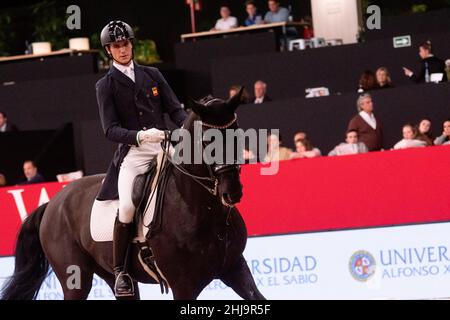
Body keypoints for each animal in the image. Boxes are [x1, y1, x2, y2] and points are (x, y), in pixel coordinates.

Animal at [0, 90, 264, 300]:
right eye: (207, 141)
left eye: (238, 133)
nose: (232, 191)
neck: (196, 207)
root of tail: (52, 203)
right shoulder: (183, 285)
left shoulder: (235, 268)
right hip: (75, 278)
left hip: (110, 273)